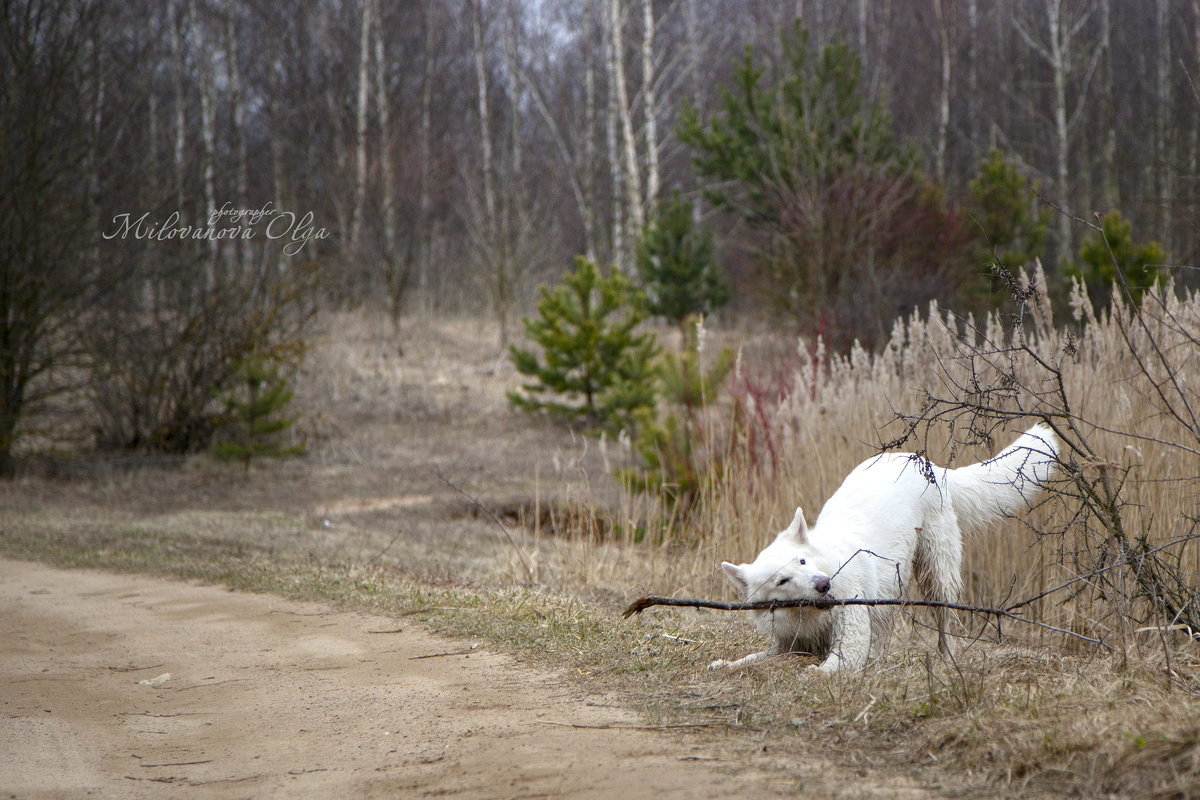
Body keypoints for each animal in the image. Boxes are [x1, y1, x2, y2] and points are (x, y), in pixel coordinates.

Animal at [710, 422, 1060, 671]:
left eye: (802, 562)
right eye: (782, 580)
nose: (824, 584)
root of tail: (930, 465)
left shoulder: (850, 636)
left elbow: (831, 667)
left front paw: (814, 673)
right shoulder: (785, 645)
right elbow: (750, 659)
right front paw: (725, 664)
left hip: (935, 575)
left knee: (943, 625)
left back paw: (946, 660)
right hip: (894, 585)